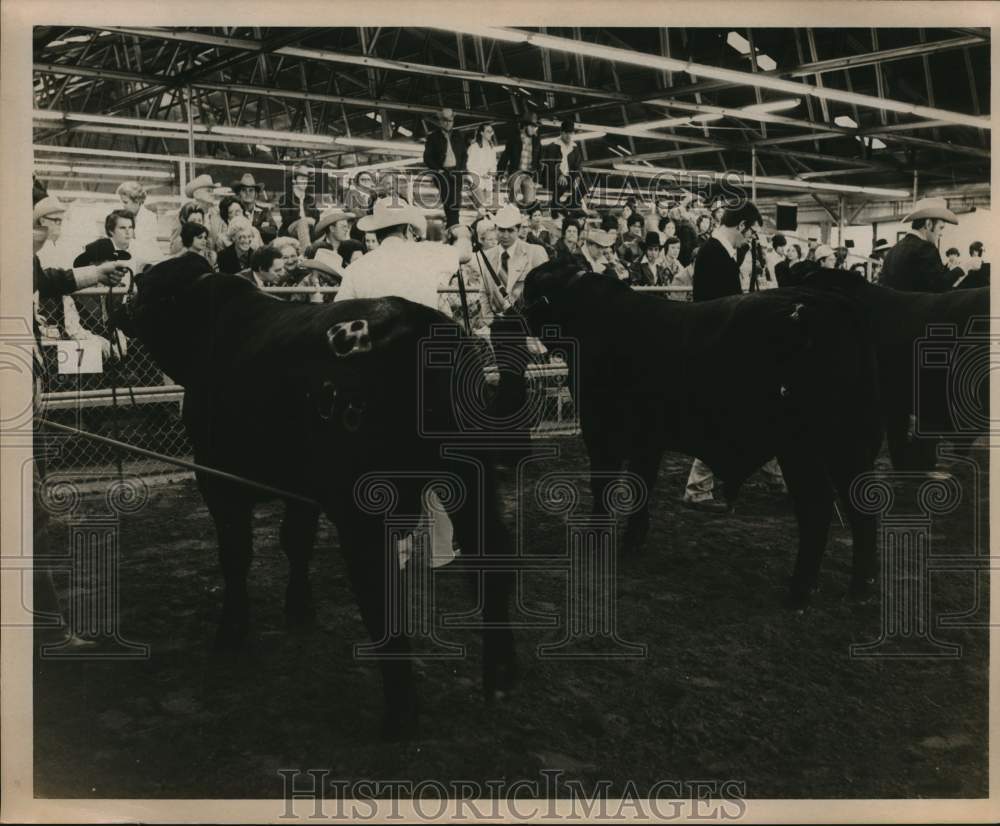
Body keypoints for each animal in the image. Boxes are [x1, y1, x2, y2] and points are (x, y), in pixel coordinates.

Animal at [119, 254, 516, 736]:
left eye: (146, 289)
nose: (124, 309)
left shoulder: (218, 480)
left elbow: (236, 554)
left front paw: (232, 628)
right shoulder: (299, 489)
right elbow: (296, 539)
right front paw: (299, 607)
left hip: (365, 507)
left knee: (380, 589)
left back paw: (400, 714)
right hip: (471, 478)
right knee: (491, 560)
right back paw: (500, 679)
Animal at [520, 260, 880, 608]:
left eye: (529, 287)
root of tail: (827, 304)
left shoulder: (601, 429)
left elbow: (604, 483)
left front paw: (599, 537)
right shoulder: (647, 439)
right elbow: (641, 484)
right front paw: (634, 539)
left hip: (802, 447)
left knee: (817, 506)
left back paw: (799, 593)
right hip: (848, 444)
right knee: (860, 505)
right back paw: (860, 589)